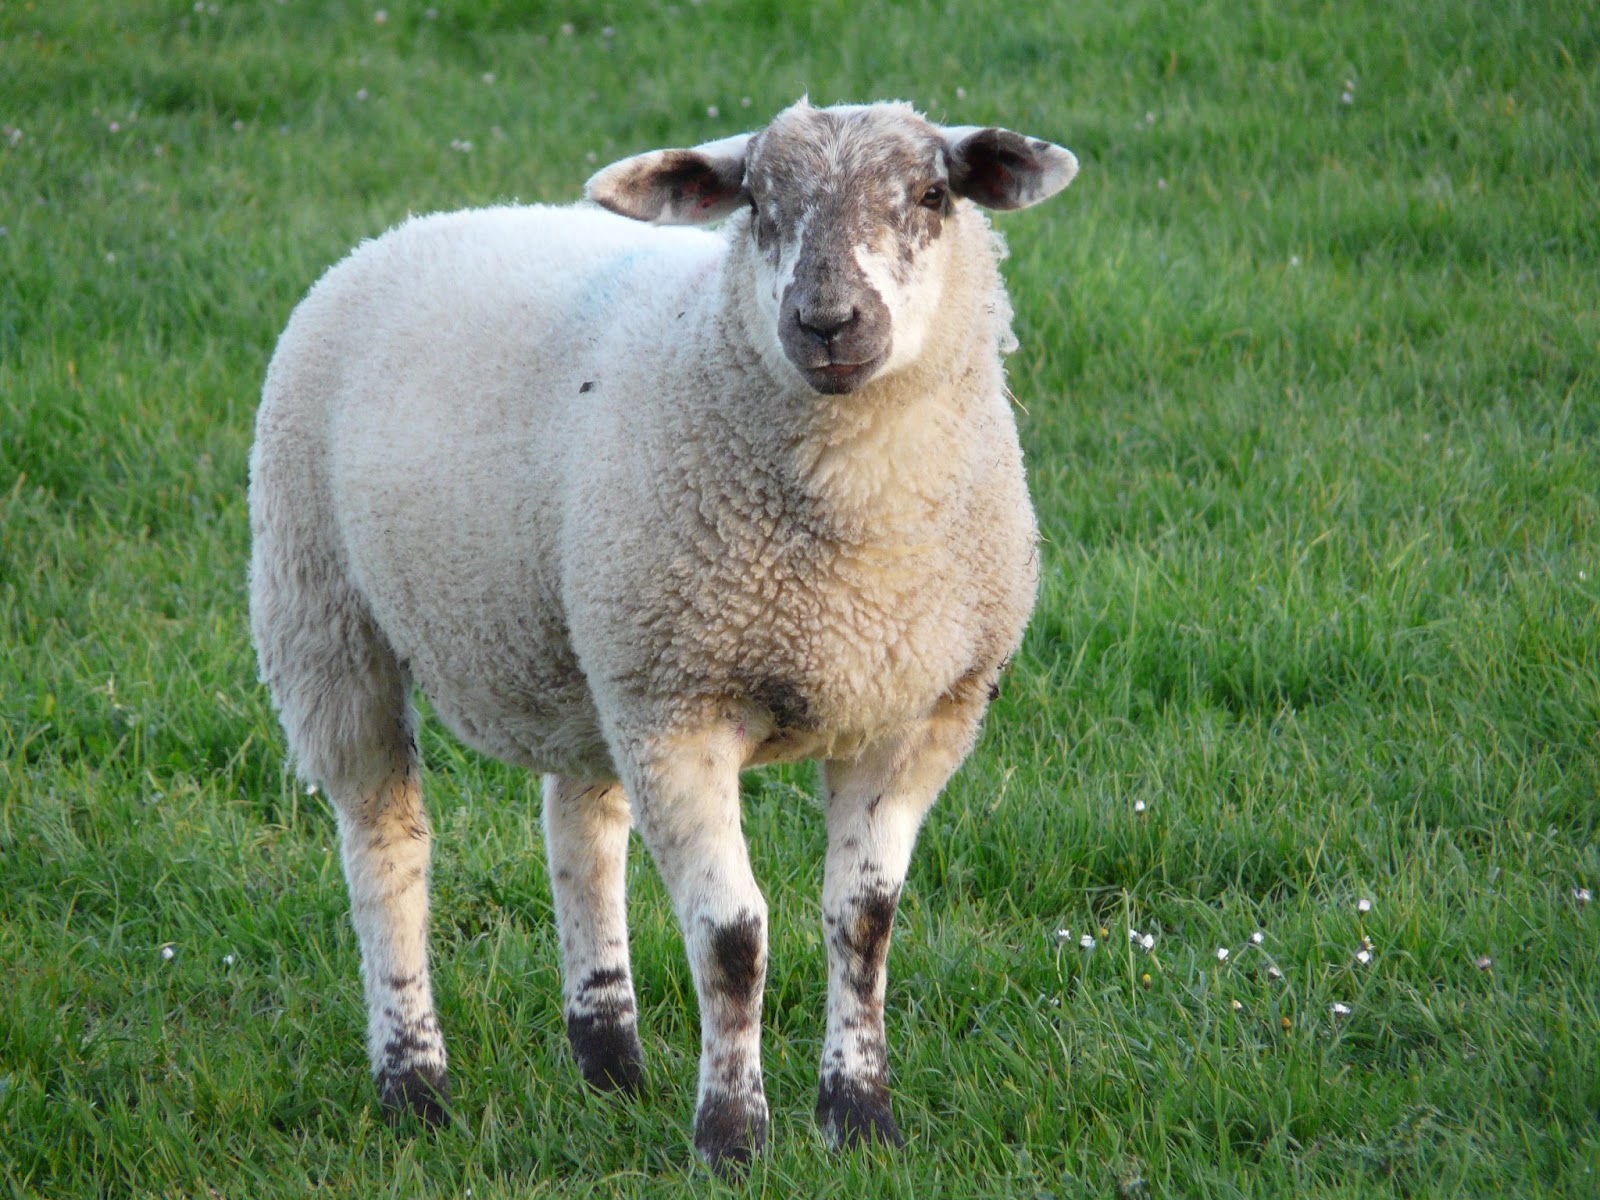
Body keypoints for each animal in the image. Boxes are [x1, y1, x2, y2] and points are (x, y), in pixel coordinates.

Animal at [248, 98, 1078, 1169]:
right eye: (757, 202)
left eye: (935, 195)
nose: (827, 323)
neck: (862, 540)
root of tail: (419, 224)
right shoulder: (681, 711)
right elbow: (734, 940)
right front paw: (733, 1138)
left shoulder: (919, 714)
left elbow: (863, 923)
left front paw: (861, 1118)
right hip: (325, 612)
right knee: (385, 845)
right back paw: (414, 1085)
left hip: (590, 649)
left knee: (579, 830)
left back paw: (609, 1063)